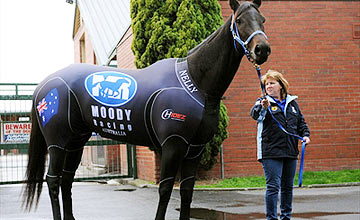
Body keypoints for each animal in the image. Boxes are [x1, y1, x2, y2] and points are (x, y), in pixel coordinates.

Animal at [22, 0, 270, 219]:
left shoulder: (195, 150)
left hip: (76, 142)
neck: (195, 82)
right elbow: (165, 190)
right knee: (53, 180)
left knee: (66, 180)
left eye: (262, 19)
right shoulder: (173, 146)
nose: (262, 49)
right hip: (57, 143)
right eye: (239, 20)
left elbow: (187, 193)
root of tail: (43, 85)